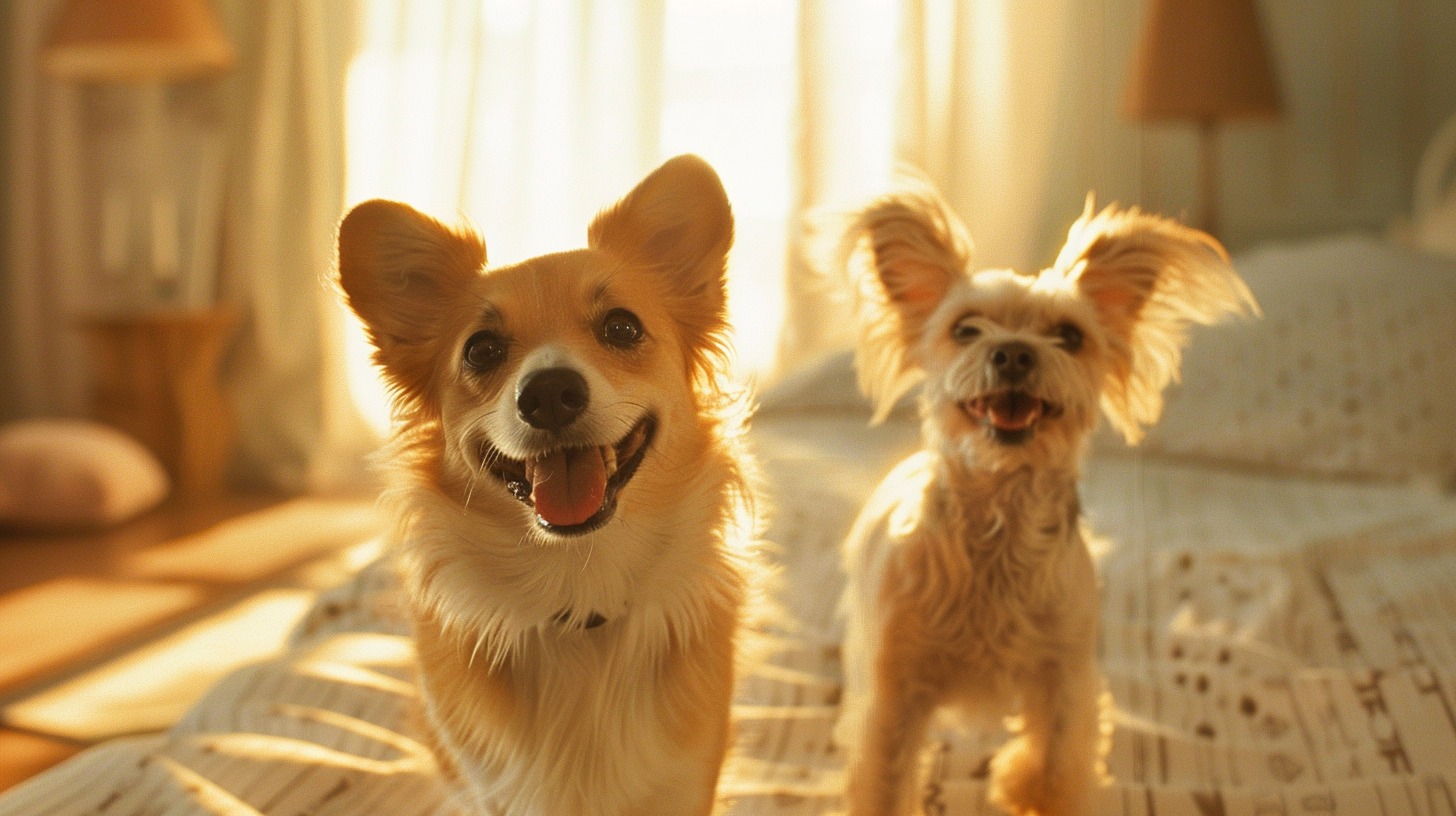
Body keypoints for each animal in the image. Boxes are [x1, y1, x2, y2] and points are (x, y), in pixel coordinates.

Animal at [333, 154, 757, 816]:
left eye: (621, 328)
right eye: (482, 350)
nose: (550, 392)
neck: (577, 587)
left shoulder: (684, 784)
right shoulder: (489, 787)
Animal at [838, 186, 1257, 816]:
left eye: (1069, 336)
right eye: (966, 330)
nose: (1012, 352)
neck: (997, 521)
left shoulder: (1063, 675)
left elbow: (1055, 765)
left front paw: (1031, 788)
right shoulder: (896, 686)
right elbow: (883, 779)